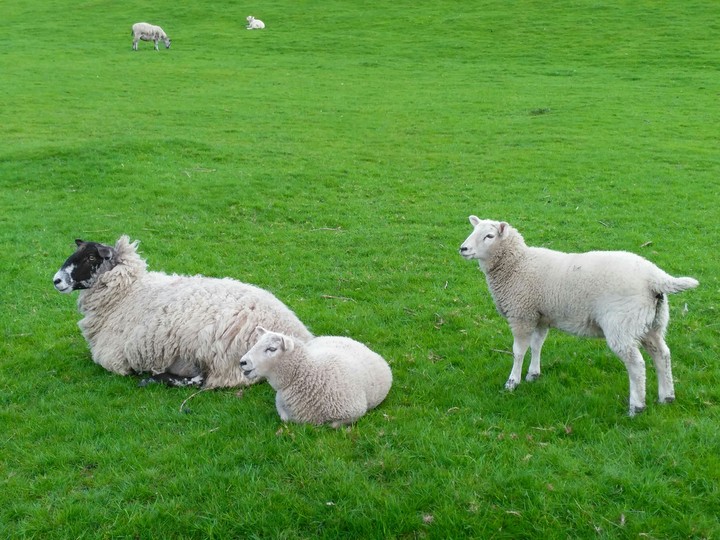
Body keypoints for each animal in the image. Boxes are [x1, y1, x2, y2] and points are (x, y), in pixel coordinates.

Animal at [53, 236, 313, 388]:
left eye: (90, 257)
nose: (56, 280)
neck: (127, 293)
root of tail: (300, 337)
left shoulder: (112, 357)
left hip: (218, 356)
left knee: (204, 381)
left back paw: (154, 377)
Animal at [239, 327, 392, 427]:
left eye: (271, 349)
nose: (242, 362)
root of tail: (342, 337)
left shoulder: (354, 412)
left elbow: (333, 425)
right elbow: (284, 418)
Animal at [459, 216, 699, 416]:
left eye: (489, 236)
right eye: (474, 231)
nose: (463, 248)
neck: (517, 264)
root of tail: (656, 277)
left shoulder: (522, 314)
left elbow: (519, 351)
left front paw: (512, 382)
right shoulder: (541, 315)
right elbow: (537, 345)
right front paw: (533, 374)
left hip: (622, 324)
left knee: (637, 364)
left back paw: (636, 407)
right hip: (652, 323)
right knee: (662, 355)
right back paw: (666, 397)